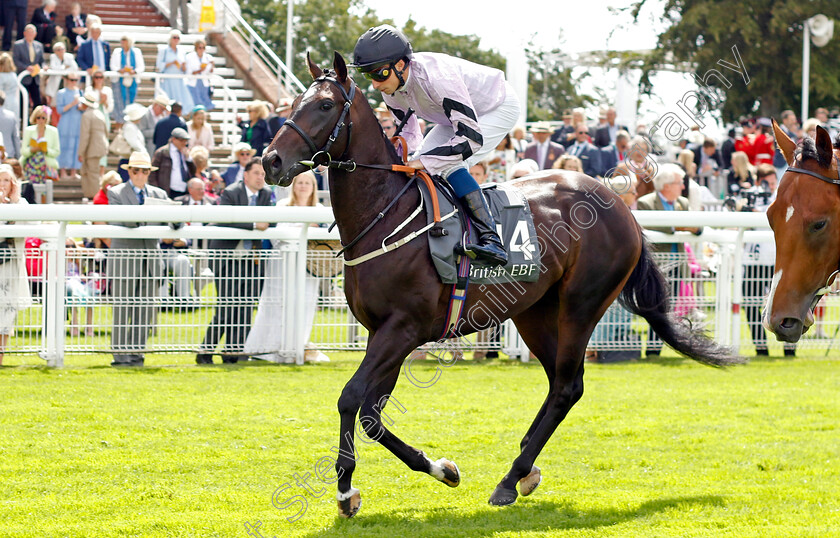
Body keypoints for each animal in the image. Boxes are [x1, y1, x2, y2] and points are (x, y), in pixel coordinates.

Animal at [260, 53, 740, 516]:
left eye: (325, 105)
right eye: (292, 103)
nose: (271, 161)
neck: (386, 216)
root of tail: (624, 208)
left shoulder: (403, 329)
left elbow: (350, 398)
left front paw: (345, 492)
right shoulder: (383, 332)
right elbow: (372, 418)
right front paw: (443, 469)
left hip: (581, 304)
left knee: (567, 386)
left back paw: (512, 478)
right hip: (534, 311)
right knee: (561, 383)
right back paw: (526, 465)